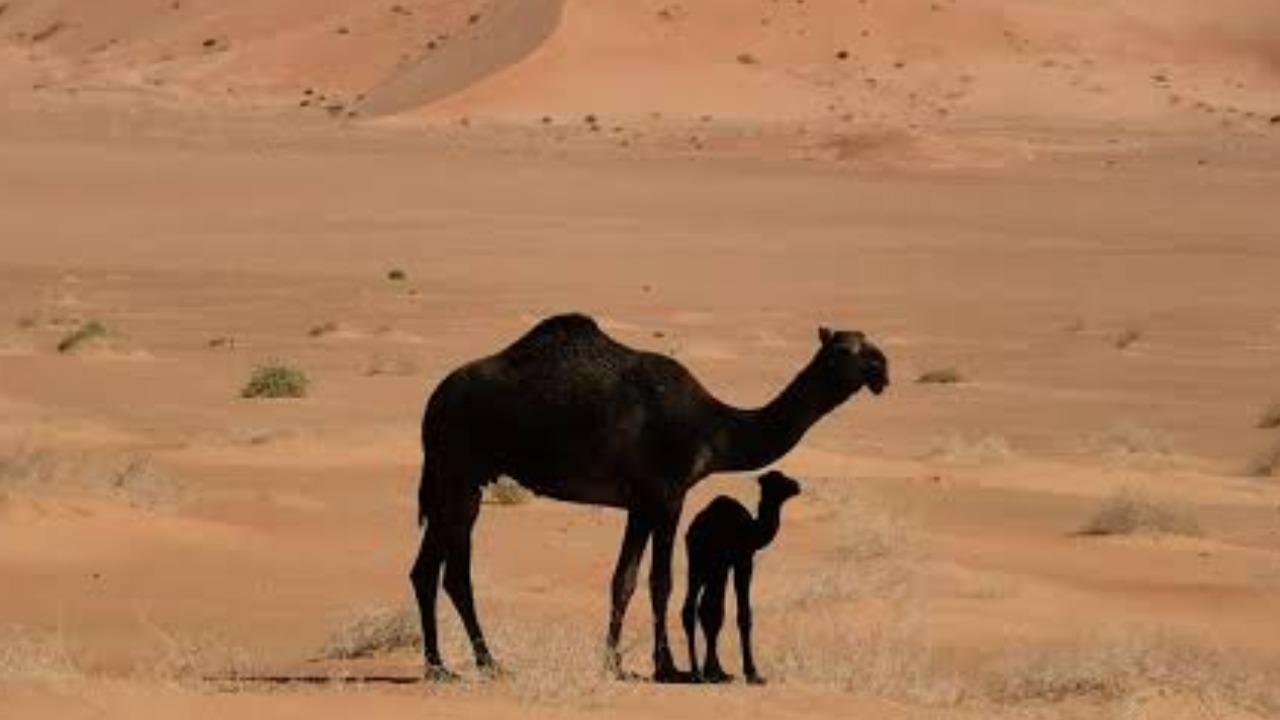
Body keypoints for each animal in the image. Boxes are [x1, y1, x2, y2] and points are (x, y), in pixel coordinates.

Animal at [681, 470, 801, 685]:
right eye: (779, 481)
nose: (797, 485)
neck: (752, 530)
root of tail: (695, 530)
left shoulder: (725, 564)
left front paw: (718, 671)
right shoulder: (742, 560)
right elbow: (739, 613)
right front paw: (752, 673)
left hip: (697, 565)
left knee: (691, 608)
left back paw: (697, 671)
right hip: (713, 565)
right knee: (708, 608)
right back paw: (709, 672)